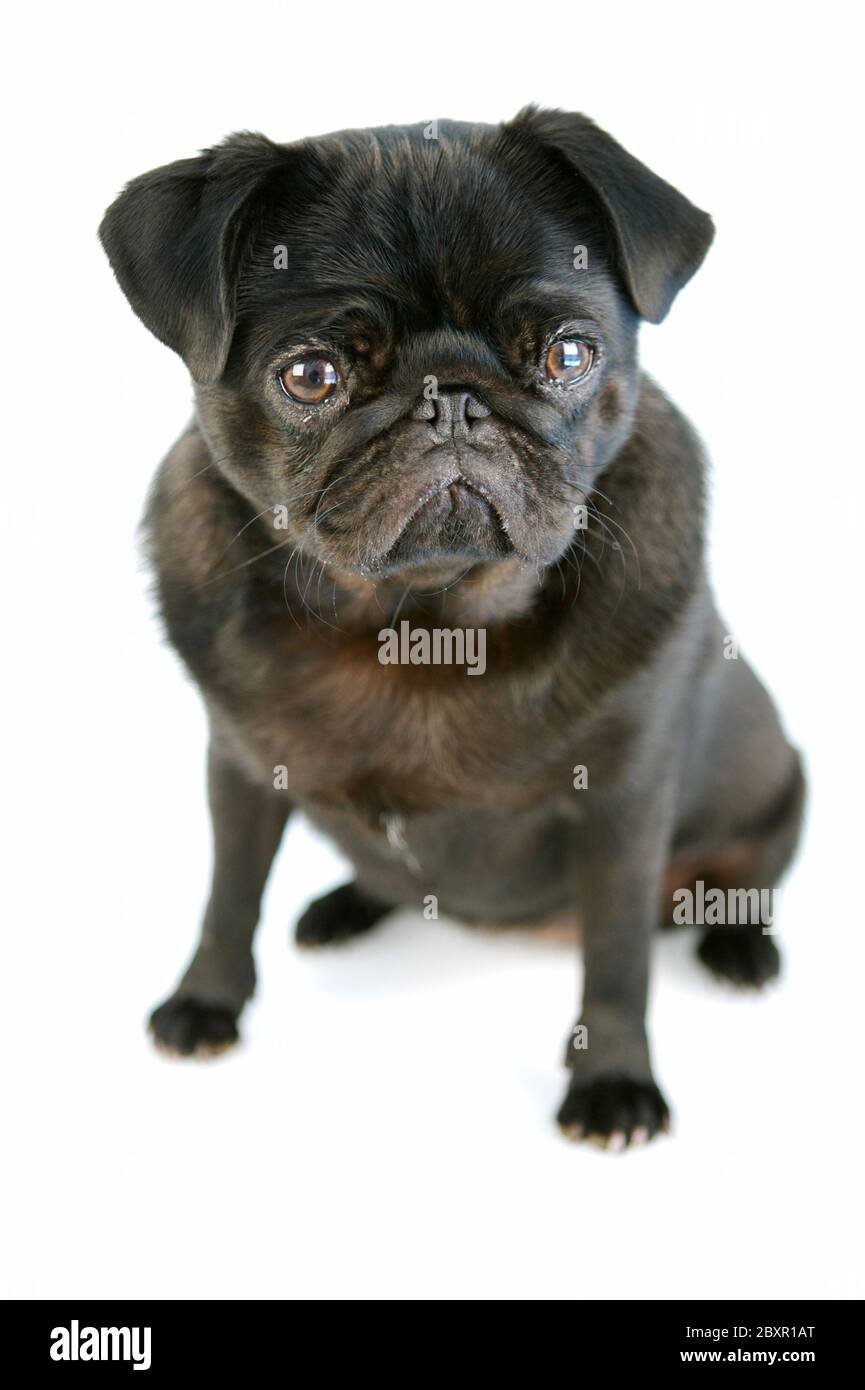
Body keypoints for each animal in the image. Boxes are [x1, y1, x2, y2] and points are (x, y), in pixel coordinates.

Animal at [101, 108, 806, 1145]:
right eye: (310, 375)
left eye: (568, 355)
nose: (452, 399)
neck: (421, 622)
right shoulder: (240, 769)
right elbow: (228, 893)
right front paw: (207, 999)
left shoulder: (625, 803)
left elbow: (618, 958)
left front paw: (612, 1078)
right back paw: (345, 906)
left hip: (778, 792)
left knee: (736, 880)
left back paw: (740, 947)